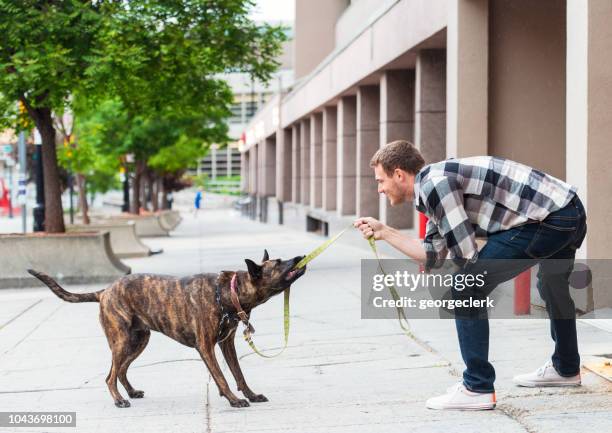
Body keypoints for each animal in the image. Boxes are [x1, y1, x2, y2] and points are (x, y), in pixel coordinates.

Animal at [27, 250, 306, 408]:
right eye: (279, 263)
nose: (299, 258)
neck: (228, 292)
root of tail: (105, 291)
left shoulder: (227, 345)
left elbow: (238, 374)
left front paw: (251, 394)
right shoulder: (206, 347)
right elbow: (221, 376)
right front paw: (234, 399)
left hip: (138, 341)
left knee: (121, 370)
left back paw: (130, 392)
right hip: (122, 341)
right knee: (110, 375)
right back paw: (119, 399)